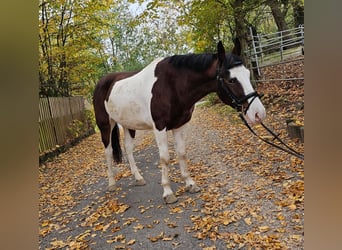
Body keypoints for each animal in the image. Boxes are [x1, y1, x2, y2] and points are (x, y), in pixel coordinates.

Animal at [93, 39, 268, 203]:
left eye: (247, 74)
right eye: (231, 80)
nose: (258, 113)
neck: (172, 85)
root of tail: (102, 82)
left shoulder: (180, 125)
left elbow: (182, 153)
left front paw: (190, 184)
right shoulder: (159, 127)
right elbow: (165, 158)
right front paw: (168, 192)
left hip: (129, 125)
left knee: (128, 149)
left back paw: (138, 178)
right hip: (105, 126)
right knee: (108, 152)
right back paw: (111, 183)